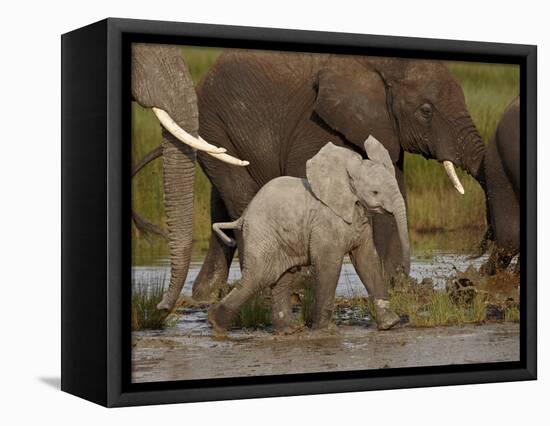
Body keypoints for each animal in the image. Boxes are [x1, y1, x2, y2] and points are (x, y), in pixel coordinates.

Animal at [191, 50, 488, 302]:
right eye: (426, 111)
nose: (472, 267)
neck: (380, 64)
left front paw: (395, 286)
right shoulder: (316, 123)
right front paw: (306, 287)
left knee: (221, 202)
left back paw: (205, 294)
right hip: (213, 122)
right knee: (241, 196)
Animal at [208, 136, 410, 332]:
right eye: (375, 192)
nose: (402, 272)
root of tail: (244, 215)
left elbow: (367, 261)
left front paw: (390, 324)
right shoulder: (325, 223)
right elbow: (329, 264)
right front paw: (326, 330)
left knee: (282, 279)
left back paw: (288, 330)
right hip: (262, 235)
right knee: (257, 277)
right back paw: (216, 323)